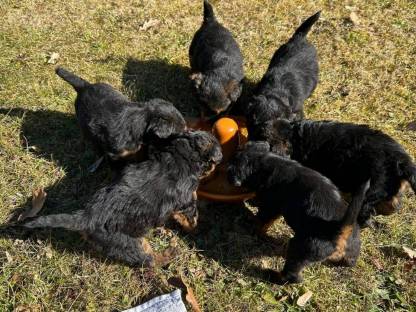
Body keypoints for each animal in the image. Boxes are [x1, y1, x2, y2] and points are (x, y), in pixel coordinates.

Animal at [22, 130, 224, 266]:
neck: (183, 155)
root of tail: (86, 217)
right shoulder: (187, 200)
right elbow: (191, 216)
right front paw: (194, 228)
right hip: (128, 243)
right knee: (148, 260)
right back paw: (169, 253)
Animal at [228, 143, 370, 284]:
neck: (267, 160)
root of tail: (340, 230)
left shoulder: (271, 205)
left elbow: (262, 221)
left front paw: (254, 229)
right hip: (353, 245)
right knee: (350, 261)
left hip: (302, 249)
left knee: (293, 275)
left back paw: (273, 276)